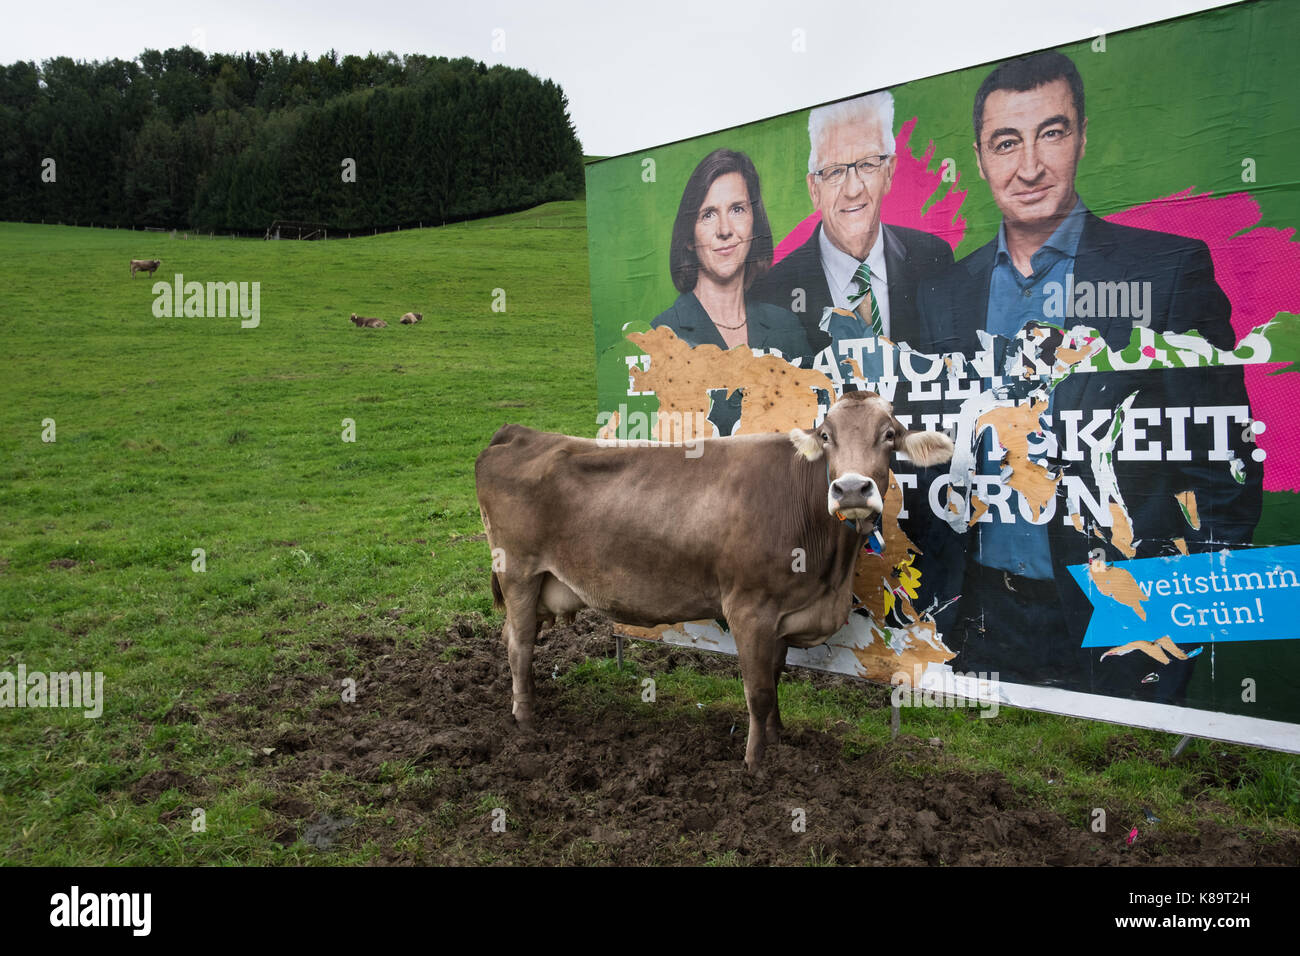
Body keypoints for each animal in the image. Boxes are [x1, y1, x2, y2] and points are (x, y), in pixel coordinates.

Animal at [478, 390, 956, 770]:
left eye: (889, 434)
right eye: (826, 436)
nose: (852, 489)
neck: (828, 573)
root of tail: (519, 433)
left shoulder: (781, 617)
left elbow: (775, 679)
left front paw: (778, 741)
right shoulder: (749, 608)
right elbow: (758, 690)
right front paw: (755, 763)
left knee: (513, 638)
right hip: (518, 571)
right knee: (519, 644)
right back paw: (526, 721)